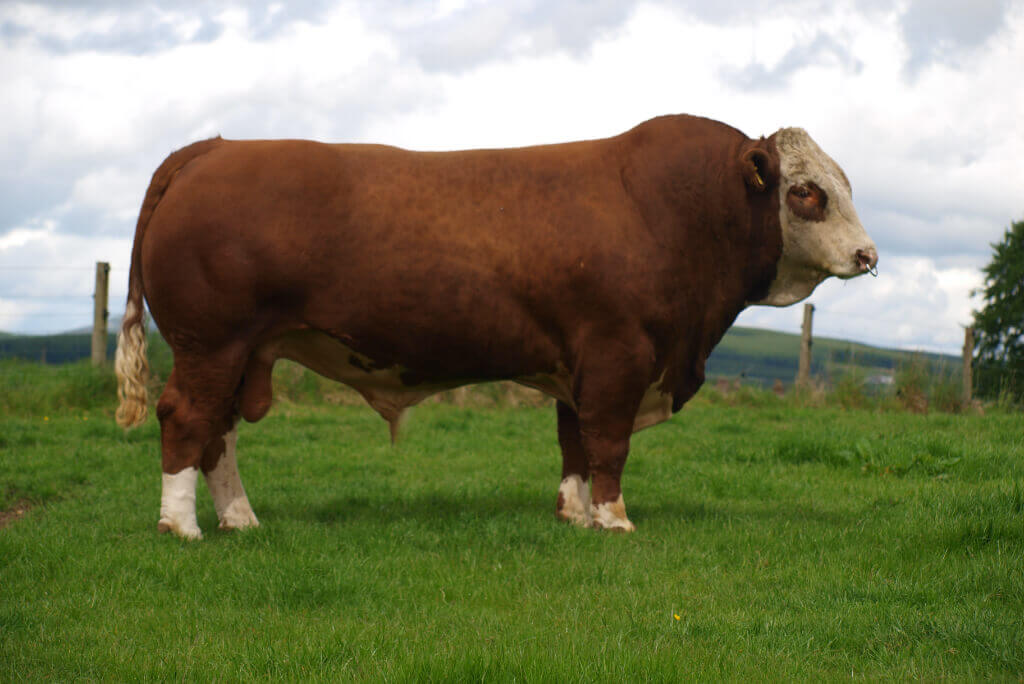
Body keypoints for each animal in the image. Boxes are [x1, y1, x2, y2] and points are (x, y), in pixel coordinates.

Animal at [115, 114, 877, 539]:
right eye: (807, 192)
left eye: (845, 183)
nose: (868, 255)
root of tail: (213, 149)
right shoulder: (618, 354)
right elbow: (608, 443)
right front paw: (614, 520)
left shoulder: (580, 363)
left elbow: (574, 443)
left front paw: (574, 515)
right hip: (211, 342)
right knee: (187, 417)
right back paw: (181, 525)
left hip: (242, 350)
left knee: (219, 431)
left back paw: (240, 519)